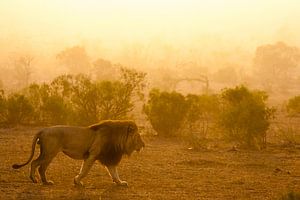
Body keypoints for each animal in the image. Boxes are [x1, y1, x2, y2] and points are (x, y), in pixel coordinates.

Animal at [12, 119, 146, 187]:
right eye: (138, 137)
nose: (144, 145)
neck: (118, 139)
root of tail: (43, 129)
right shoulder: (93, 154)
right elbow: (85, 170)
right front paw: (77, 181)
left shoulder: (108, 157)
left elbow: (114, 173)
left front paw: (120, 182)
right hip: (49, 153)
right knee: (35, 163)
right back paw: (34, 179)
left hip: (50, 154)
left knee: (41, 168)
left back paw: (46, 182)